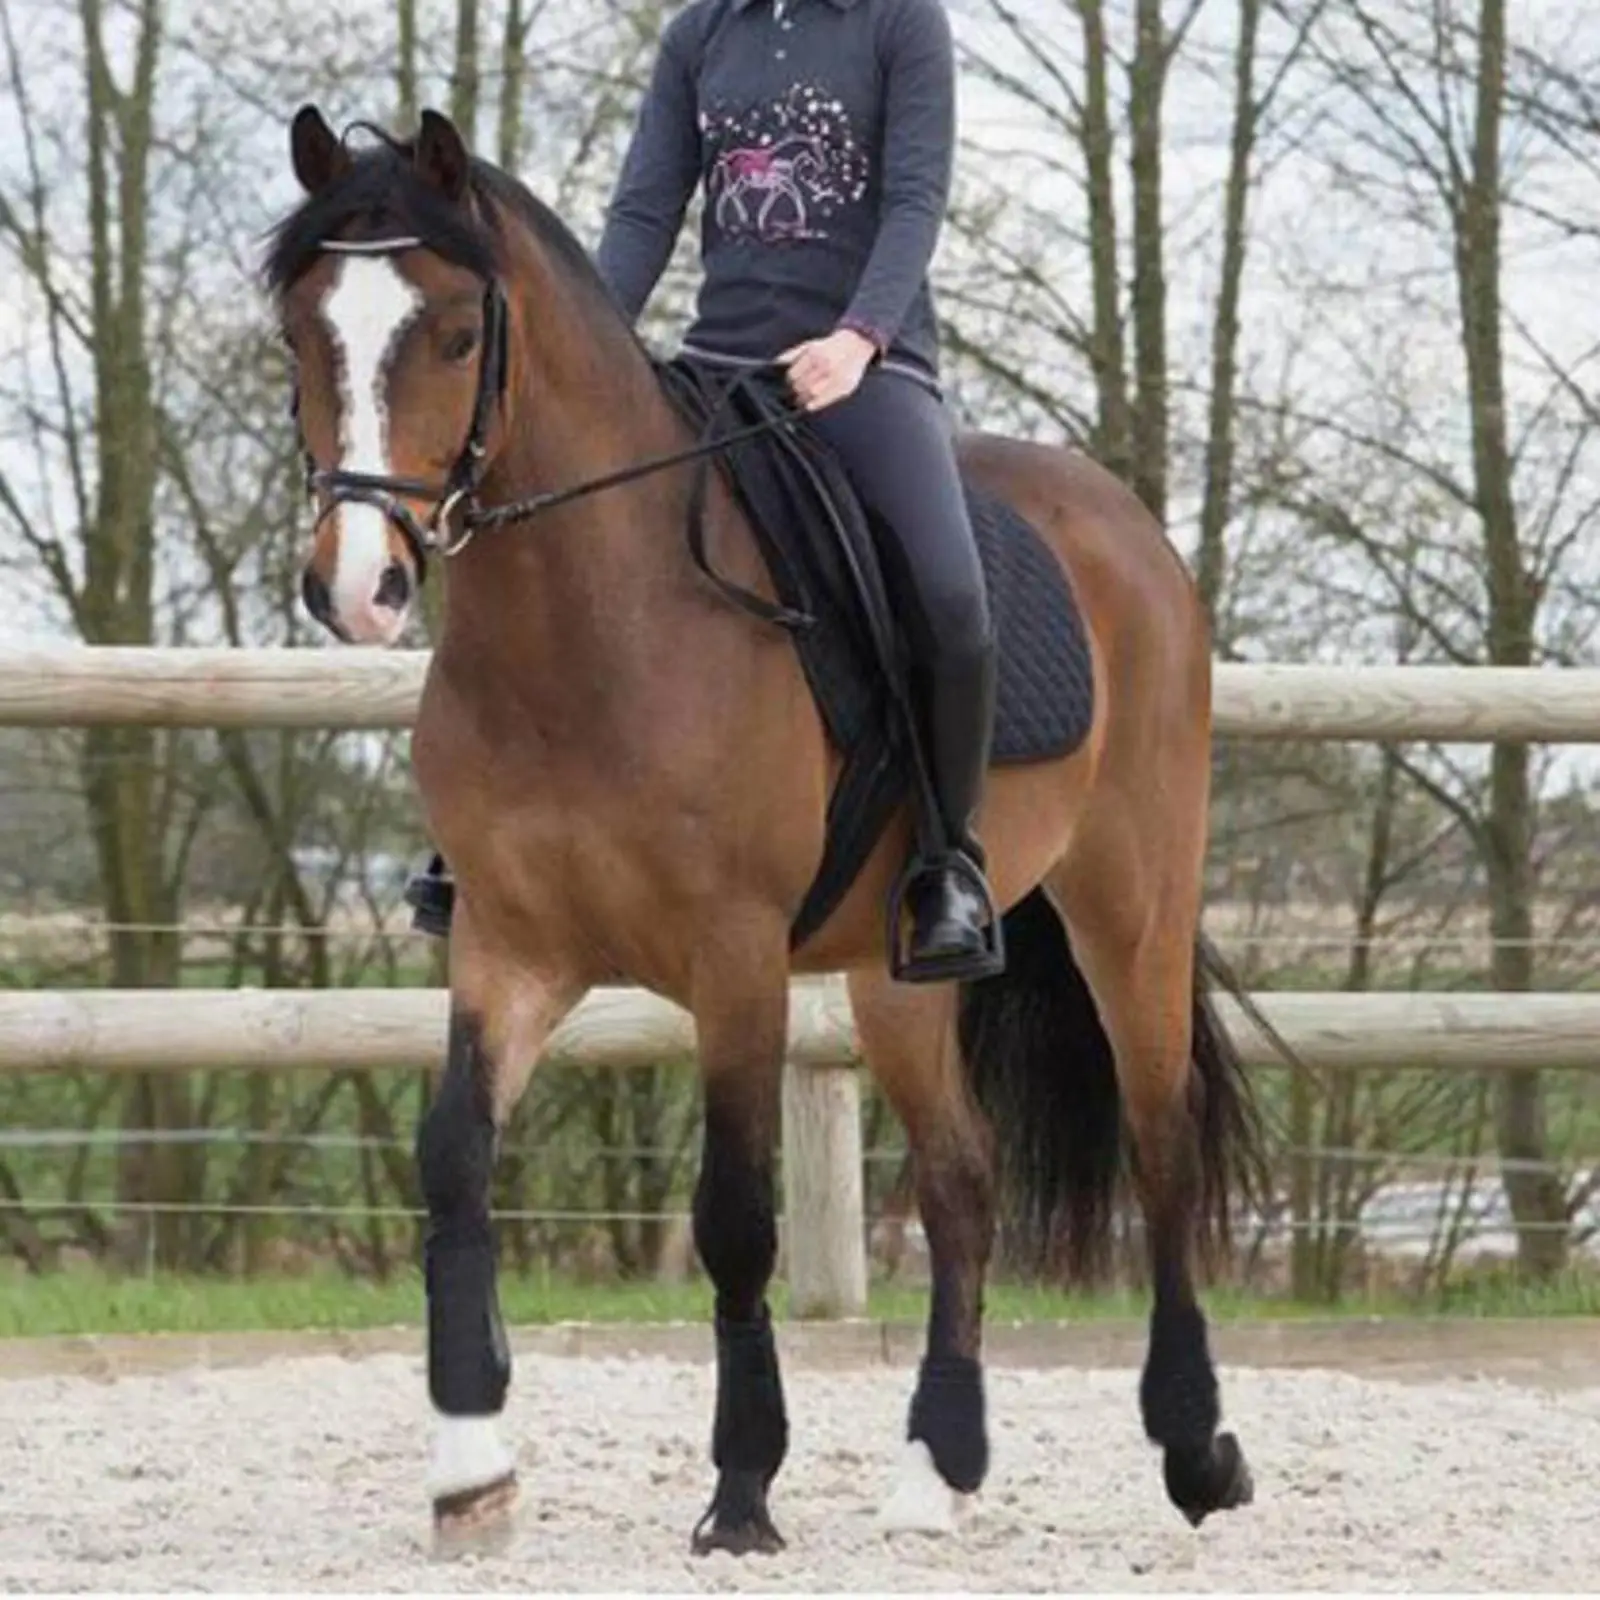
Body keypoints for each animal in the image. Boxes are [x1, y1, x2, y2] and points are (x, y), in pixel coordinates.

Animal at [264, 104, 1268, 1555]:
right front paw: (470, 1467)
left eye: (454, 333)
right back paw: (936, 1469)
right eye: (300, 330)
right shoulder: (510, 947)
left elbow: (735, 1217)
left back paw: (1196, 1452)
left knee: (1163, 1147)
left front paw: (740, 1491)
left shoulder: (731, 956)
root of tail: (1127, 526)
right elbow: (452, 1159)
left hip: (1130, 908)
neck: (594, 626)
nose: (359, 587)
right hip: (899, 970)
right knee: (962, 1177)